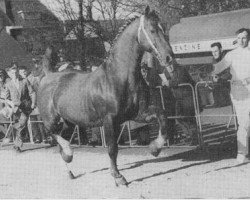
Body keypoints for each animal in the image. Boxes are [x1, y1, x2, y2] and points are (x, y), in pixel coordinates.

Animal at [37, 6, 174, 188]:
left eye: (163, 29)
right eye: (152, 30)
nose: (169, 57)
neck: (119, 77)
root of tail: (48, 75)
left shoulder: (138, 114)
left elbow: (163, 116)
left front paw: (155, 148)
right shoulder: (109, 120)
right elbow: (112, 148)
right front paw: (118, 177)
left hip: (69, 122)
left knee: (60, 141)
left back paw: (70, 171)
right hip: (51, 119)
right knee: (52, 134)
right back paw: (68, 151)